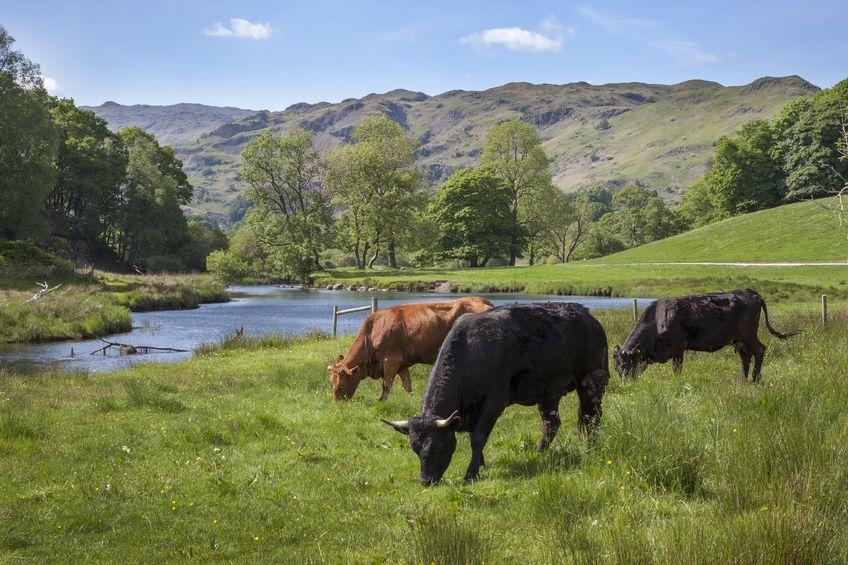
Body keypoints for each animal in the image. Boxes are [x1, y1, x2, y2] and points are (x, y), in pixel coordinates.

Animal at [328, 296, 494, 400]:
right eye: (331, 382)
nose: (336, 404)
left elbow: (386, 384)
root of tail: (483, 301)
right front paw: (413, 400)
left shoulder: (391, 360)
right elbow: (407, 386)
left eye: (341, 384)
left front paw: (380, 401)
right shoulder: (402, 364)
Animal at [380, 304, 608, 484]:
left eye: (439, 446)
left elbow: (477, 438)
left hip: (592, 381)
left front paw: (471, 473)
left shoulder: (493, 403)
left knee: (592, 419)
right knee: (551, 424)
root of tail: (587, 316)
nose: (426, 481)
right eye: (415, 449)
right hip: (548, 391)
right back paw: (537, 454)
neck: (471, 351)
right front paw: (480, 464)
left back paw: (589, 451)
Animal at [612, 288, 800, 382]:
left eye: (628, 367)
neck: (657, 321)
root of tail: (751, 292)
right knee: (746, 356)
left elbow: (677, 370)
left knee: (759, 350)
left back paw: (755, 379)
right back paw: (743, 380)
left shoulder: (679, 349)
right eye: (617, 368)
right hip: (738, 339)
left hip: (748, 335)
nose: (626, 385)